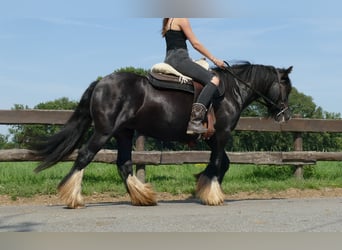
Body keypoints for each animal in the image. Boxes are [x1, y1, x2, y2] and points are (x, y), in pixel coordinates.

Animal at [33, 62, 292, 207]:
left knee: (124, 164)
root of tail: (100, 83)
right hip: (104, 132)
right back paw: (73, 198)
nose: (286, 115)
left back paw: (142, 197)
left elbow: (222, 163)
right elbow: (219, 163)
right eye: (286, 87)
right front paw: (212, 193)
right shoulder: (221, 135)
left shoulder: (211, 138)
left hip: (124, 133)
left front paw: (203, 185)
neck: (230, 91)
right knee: (85, 155)